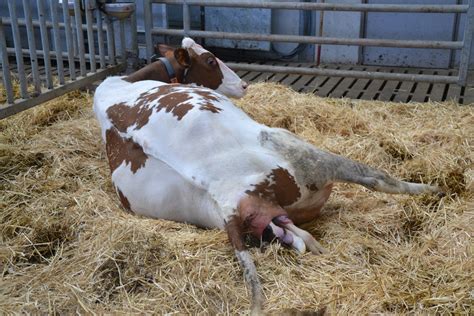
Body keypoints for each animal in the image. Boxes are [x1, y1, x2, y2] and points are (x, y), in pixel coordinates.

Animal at [92, 37, 440, 314]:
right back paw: (432, 188)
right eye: (210, 60)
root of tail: (226, 194)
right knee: (377, 177)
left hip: (247, 215)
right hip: (301, 152)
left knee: (296, 237)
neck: (122, 82)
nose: (244, 85)